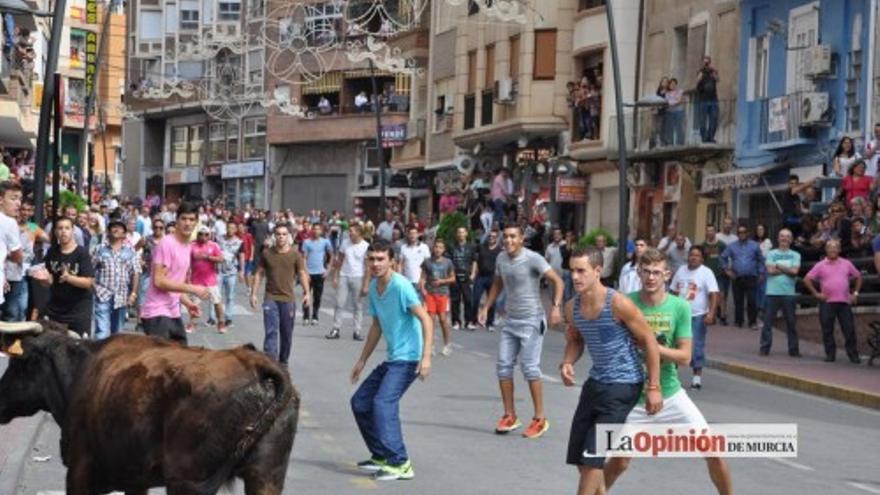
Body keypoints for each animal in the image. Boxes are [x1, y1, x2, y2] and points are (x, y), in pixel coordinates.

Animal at [0, 322, 300, 495]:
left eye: (17, 363)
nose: (0, 399)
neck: (79, 370)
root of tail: (254, 363)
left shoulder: (79, 472)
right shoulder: (136, 481)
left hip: (187, 481)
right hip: (266, 476)